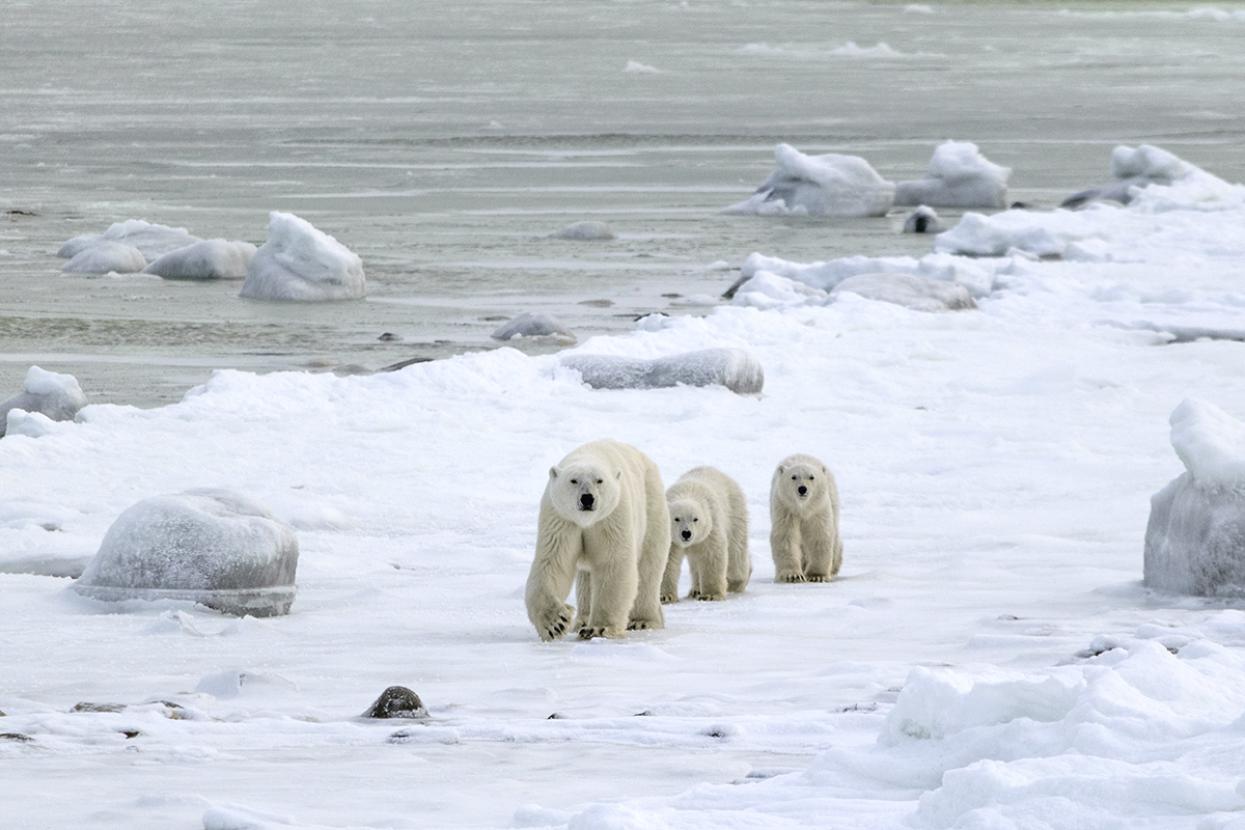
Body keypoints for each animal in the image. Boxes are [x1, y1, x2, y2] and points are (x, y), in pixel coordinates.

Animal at [525, 439, 671, 641]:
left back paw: (643, 620)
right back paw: (581, 620)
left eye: (599, 480)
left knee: (649, 568)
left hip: (651, 507)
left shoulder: (611, 517)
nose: (587, 498)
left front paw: (598, 628)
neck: (587, 521)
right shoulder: (561, 518)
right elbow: (554, 562)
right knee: (585, 577)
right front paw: (556, 623)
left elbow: (613, 562)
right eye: (574, 480)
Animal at [660, 467, 751, 603]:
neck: (687, 492)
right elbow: (667, 560)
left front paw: (710, 595)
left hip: (734, 514)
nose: (686, 533)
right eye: (677, 519)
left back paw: (737, 582)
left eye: (695, 519)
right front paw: (665, 596)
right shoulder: (670, 538)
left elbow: (711, 555)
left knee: (736, 553)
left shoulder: (710, 527)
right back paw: (695, 590)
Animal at [770, 454, 842, 583]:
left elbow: (819, 535)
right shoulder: (785, 509)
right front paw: (793, 576)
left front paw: (817, 575)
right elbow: (786, 536)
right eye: (793, 477)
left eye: (811, 477)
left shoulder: (818, 509)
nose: (802, 489)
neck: (802, 508)